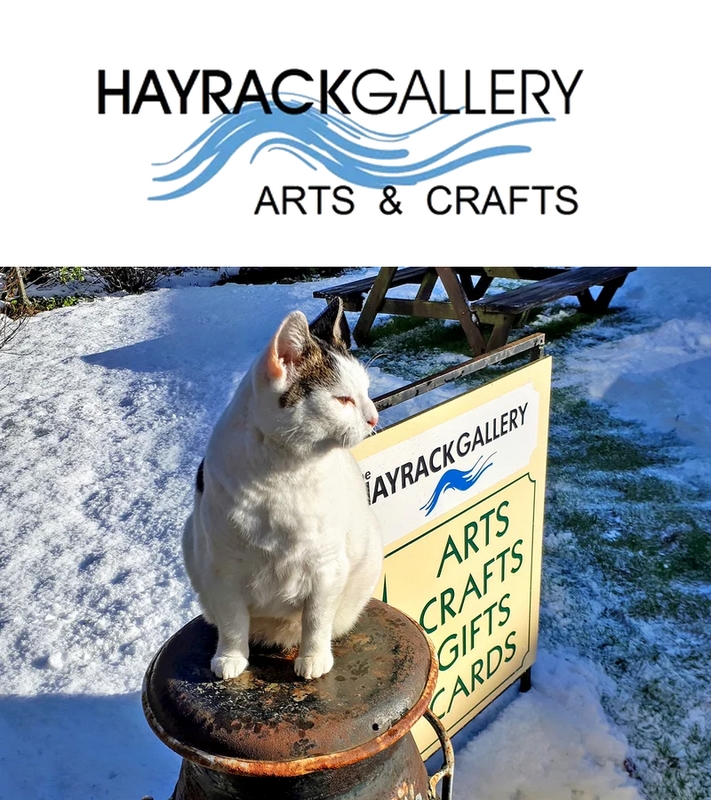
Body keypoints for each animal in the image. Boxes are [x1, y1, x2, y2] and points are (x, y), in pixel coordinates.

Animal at [182, 300, 384, 680]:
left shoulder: (327, 569)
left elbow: (316, 619)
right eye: (343, 400)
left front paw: (313, 658)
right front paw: (230, 657)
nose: (374, 417)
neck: (285, 475)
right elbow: (232, 621)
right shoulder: (221, 571)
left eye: (366, 392)